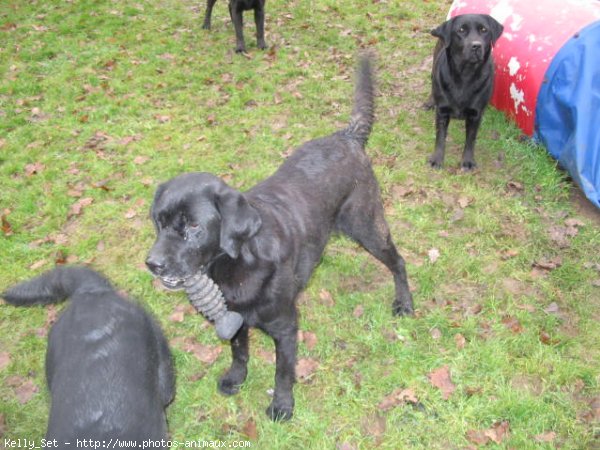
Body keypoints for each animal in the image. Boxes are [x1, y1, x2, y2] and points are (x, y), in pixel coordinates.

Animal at [148, 55, 414, 422]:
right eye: (159, 222)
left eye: (192, 227)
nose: (152, 264)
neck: (235, 268)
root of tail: (347, 136)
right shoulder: (235, 319)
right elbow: (238, 351)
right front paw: (236, 379)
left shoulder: (286, 327)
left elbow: (283, 372)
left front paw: (282, 406)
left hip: (366, 226)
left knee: (398, 261)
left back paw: (405, 302)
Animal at [424, 13, 504, 171]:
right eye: (461, 30)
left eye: (484, 30)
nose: (476, 45)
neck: (465, 74)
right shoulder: (442, 112)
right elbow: (440, 137)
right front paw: (437, 159)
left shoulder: (475, 115)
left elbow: (470, 139)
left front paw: (467, 161)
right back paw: (430, 101)